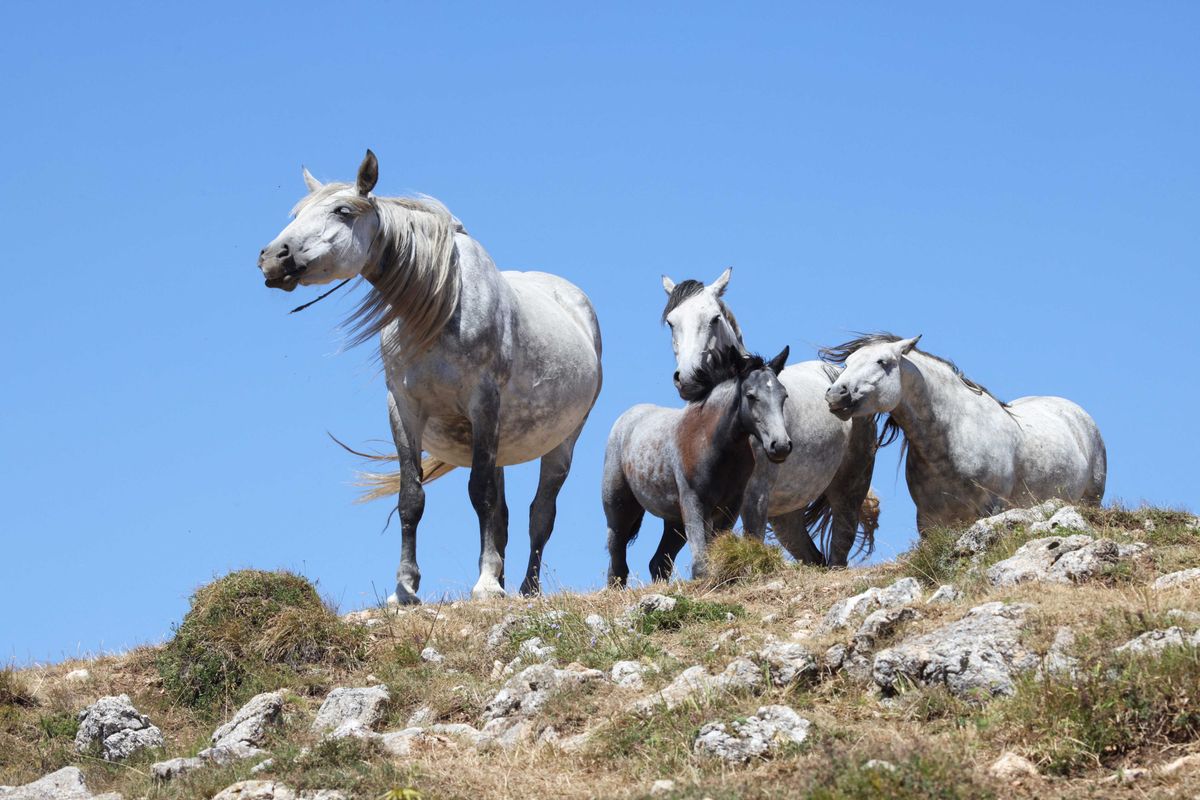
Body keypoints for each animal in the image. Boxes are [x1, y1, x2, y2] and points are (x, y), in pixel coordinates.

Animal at [257, 150, 602, 602]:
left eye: (342, 211)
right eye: (297, 213)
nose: (272, 257)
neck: (441, 304)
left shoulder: (483, 403)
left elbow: (479, 493)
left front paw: (485, 585)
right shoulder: (404, 407)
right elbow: (412, 497)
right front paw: (405, 589)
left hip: (561, 443)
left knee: (540, 513)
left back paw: (527, 588)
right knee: (505, 516)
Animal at [604, 347, 792, 585]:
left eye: (783, 395)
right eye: (751, 396)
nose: (781, 445)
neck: (713, 444)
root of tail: (626, 419)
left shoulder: (730, 506)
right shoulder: (693, 501)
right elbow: (701, 563)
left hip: (674, 521)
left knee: (659, 562)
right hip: (618, 508)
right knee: (617, 564)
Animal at [659, 269, 879, 566]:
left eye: (714, 318)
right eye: (672, 322)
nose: (688, 378)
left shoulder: (755, 497)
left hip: (848, 489)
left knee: (838, 551)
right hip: (786, 514)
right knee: (814, 557)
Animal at [822, 333, 1106, 532]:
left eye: (883, 362)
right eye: (847, 363)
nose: (836, 394)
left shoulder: (990, 509)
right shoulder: (929, 519)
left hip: (1090, 500)